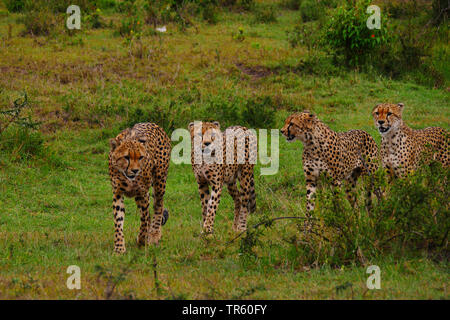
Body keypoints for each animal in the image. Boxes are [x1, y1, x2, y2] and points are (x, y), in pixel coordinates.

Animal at [109, 122, 172, 252]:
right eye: (126, 157)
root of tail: (153, 124)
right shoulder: (117, 193)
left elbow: (144, 219)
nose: (135, 170)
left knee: (158, 206)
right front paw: (119, 247)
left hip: (160, 181)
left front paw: (142, 240)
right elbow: (118, 221)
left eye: (140, 157)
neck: (127, 177)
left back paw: (154, 235)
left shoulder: (143, 193)